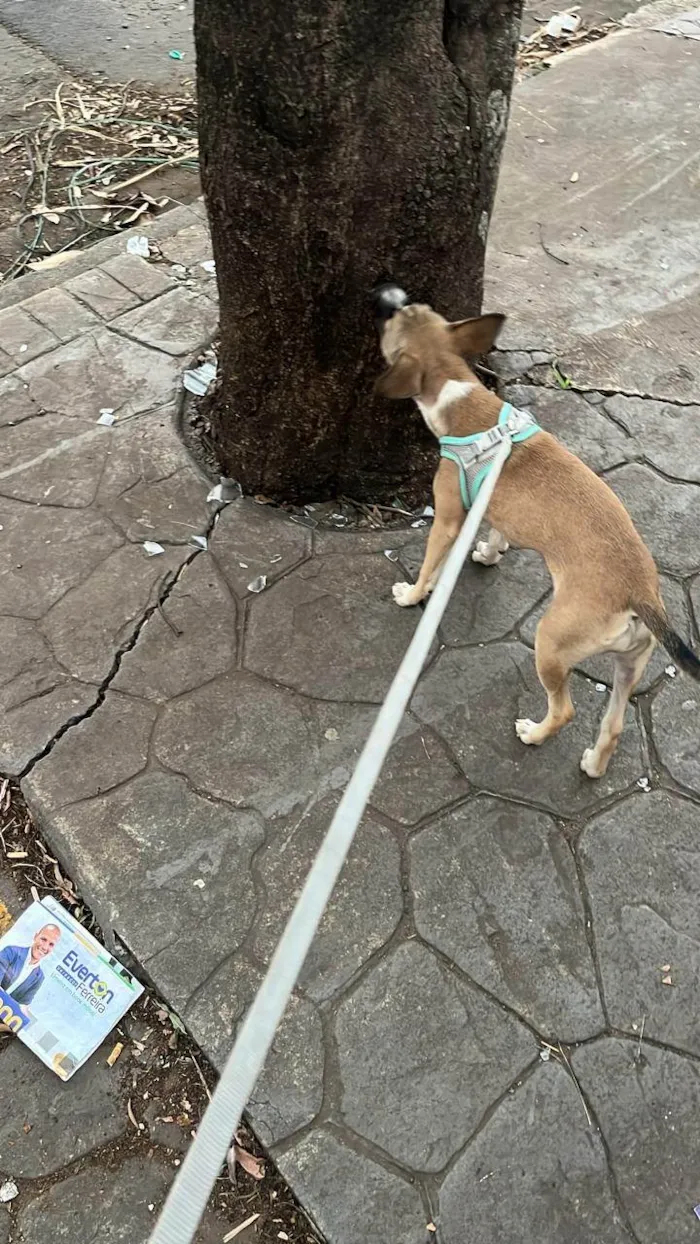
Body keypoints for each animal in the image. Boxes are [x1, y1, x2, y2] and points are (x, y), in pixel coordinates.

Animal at [373, 292, 700, 776]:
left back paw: (534, 733)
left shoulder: (448, 519)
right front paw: (489, 554)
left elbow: (430, 565)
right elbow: (496, 533)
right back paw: (594, 764)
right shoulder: (492, 507)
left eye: (391, 321)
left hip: (550, 645)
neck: (459, 392)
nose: (389, 296)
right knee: (614, 724)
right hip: (629, 666)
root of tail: (641, 594)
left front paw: (412, 594)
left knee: (565, 710)